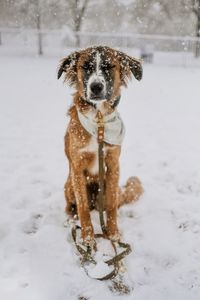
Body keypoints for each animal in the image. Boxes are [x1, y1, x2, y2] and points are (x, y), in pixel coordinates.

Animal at [57, 46, 144, 246]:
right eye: (85, 67)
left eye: (109, 66)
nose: (96, 87)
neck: (99, 121)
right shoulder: (77, 167)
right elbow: (82, 208)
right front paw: (87, 238)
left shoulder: (113, 164)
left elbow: (111, 205)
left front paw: (113, 235)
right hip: (69, 185)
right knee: (72, 208)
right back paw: (71, 221)